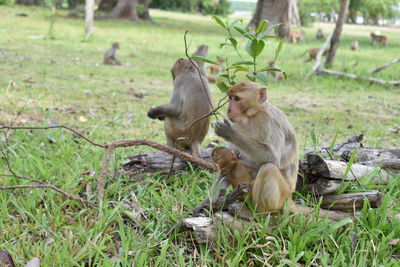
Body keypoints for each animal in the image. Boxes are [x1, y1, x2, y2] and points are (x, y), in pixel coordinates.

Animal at [195, 81, 350, 222]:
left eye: (237, 99)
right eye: (230, 98)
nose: (229, 109)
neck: (252, 115)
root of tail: (289, 197)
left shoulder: (268, 122)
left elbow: (272, 157)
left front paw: (229, 132)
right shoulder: (237, 123)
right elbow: (229, 160)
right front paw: (205, 205)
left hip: (281, 194)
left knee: (268, 168)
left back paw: (256, 213)